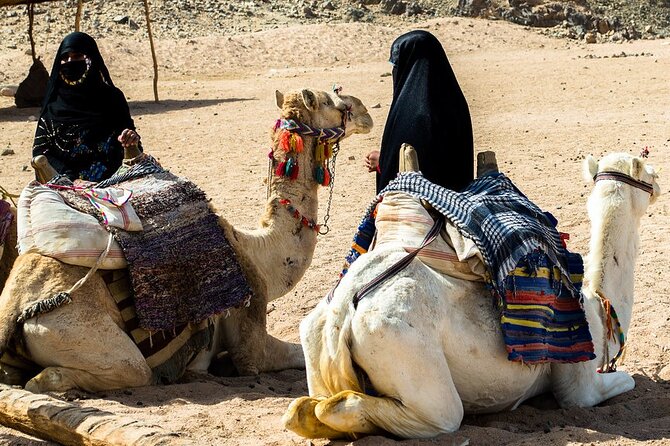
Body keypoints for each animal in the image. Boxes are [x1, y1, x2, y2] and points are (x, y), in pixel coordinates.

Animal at [0, 87, 373, 393]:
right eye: (332, 102)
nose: (365, 111)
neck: (260, 252)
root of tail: (16, 307)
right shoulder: (252, 331)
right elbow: (284, 354)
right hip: (85, 336)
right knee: (117, 372)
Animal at [283, 150, 660, 439]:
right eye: (647, 171)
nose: (658, 183)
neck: (598, 303)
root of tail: (342, 312)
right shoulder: (580, 386)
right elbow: (623, 381)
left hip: (314, 341)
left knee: (306, 407)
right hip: (406, 355)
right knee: (433, 414)